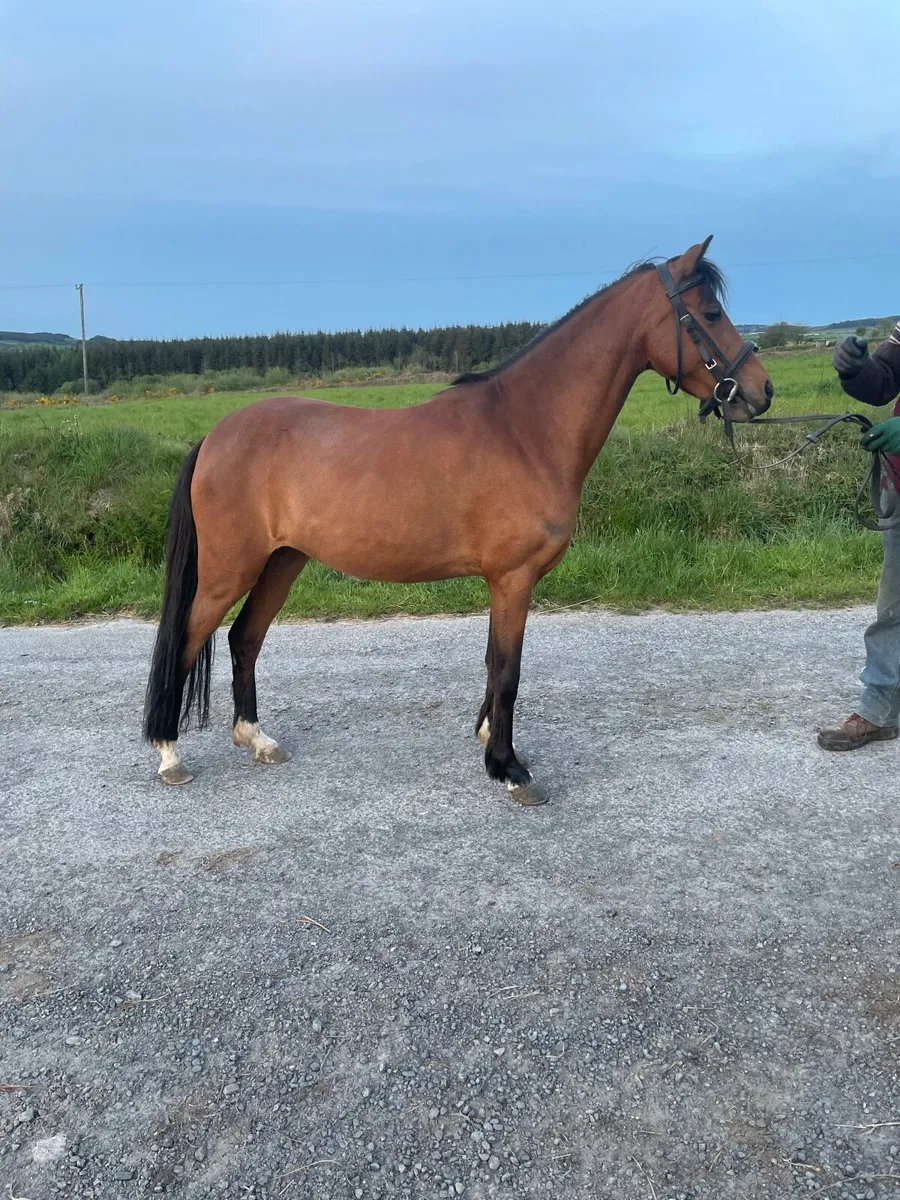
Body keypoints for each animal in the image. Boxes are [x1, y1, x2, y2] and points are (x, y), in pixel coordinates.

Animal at [143, 236, 774, 803]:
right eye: (710, 313)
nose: (761, 391)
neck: (525, 429)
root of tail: (215, 436)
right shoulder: (513, 578)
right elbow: (509, 669)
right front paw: (510, 769)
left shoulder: (505, 582)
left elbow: (494, 663)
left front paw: (490, 741)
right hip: (229, 570)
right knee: (187, 641)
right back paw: (169, 755)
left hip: (282, 561)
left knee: (244, 638)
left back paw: (257, 739)